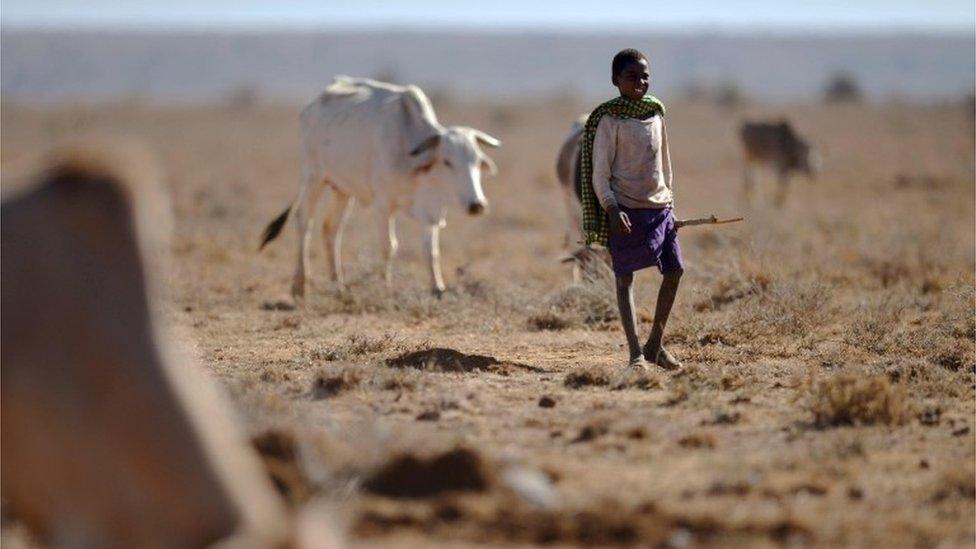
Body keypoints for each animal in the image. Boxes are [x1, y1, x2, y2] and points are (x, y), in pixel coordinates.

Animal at [262, 76, 504, 296]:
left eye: (477, 160)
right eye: (447, 161)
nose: (477, 205)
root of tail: (312, 104)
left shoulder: (431, 212)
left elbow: (431, 251)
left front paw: (437, 287)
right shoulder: (383, 206)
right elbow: (389, 247)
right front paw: (385, 287)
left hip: (342, 190)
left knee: (331, 228)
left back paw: (338, 285)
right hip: (314, 177)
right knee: (304, 221)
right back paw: (300, 286)